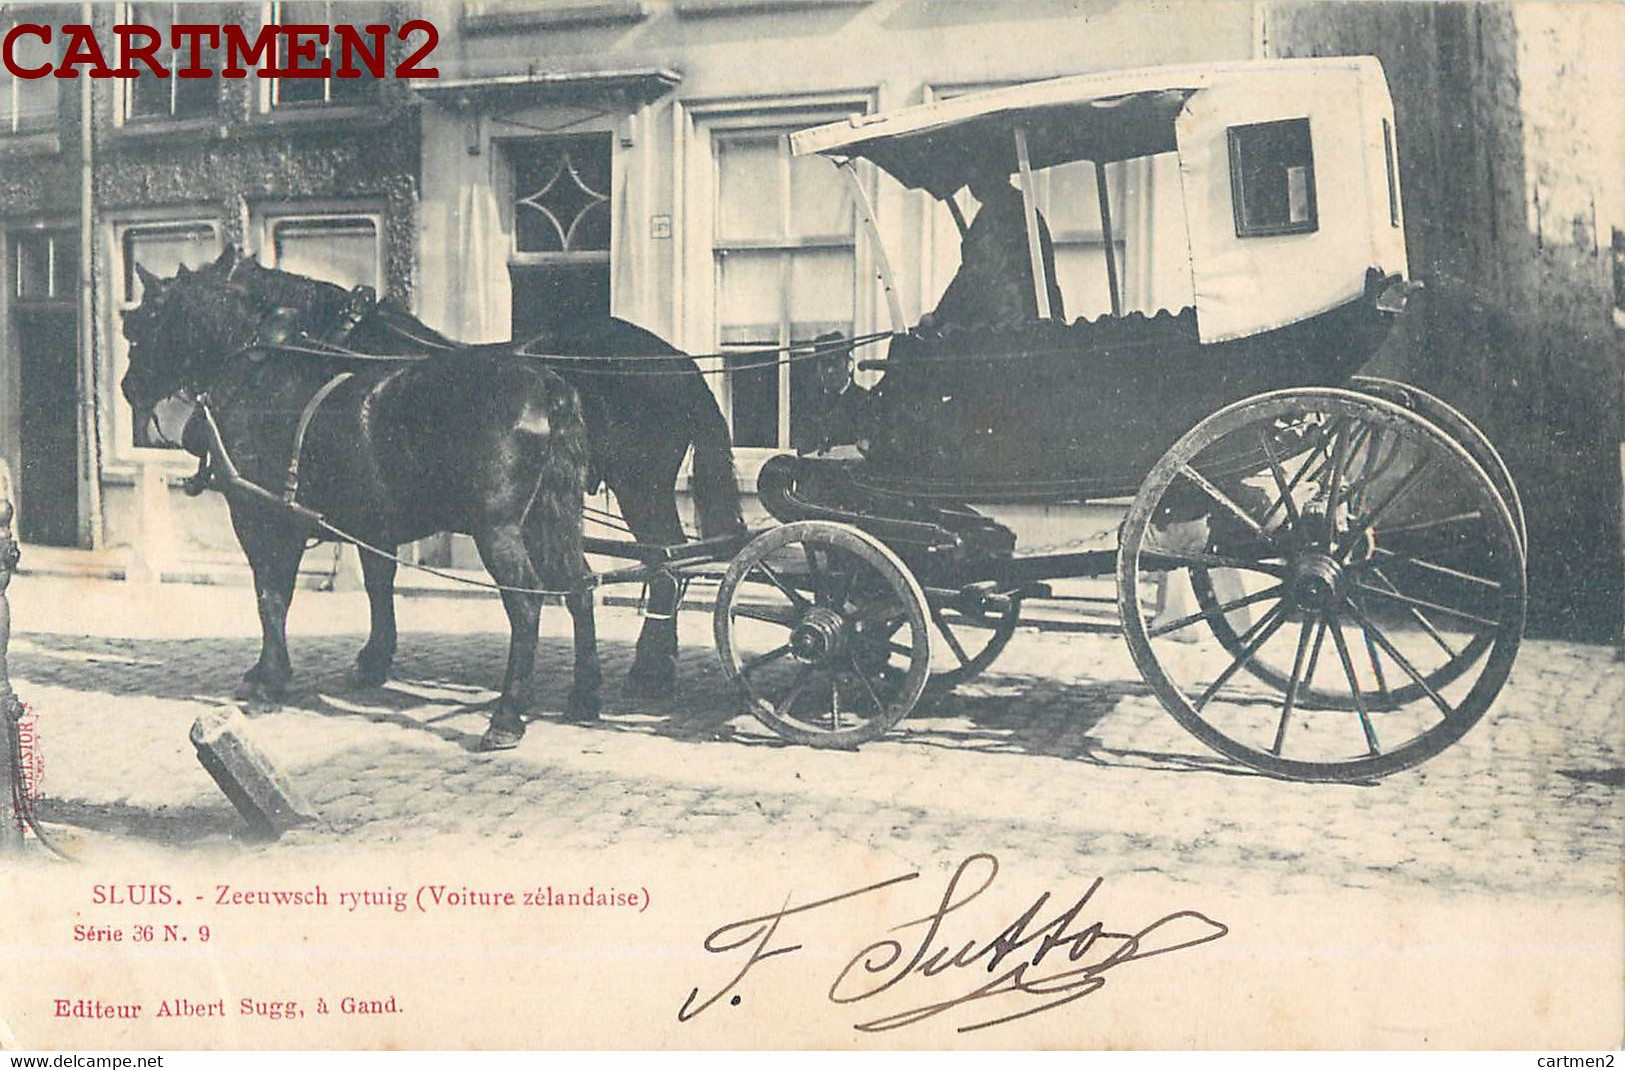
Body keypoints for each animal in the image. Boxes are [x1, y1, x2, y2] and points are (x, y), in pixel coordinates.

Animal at [120, 258, 601, 744]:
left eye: (143, 322)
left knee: (525, 603)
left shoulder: (264, 519)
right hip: (552, 518)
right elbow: (376, 586)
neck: (257, 372)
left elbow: (271, 595)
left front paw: (269, 675)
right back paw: (583, 696)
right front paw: (368, 661)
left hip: (498, 529)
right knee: (579, 586)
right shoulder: (373, 526)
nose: (127, 387)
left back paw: (507, 716)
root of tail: (548, 388)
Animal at [195, 248, 744, 692]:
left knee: (664, 566)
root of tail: (678, 361)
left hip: (640, 487)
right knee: (666, 564)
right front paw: (374, 658)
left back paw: (649, 670)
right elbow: (379, 580)